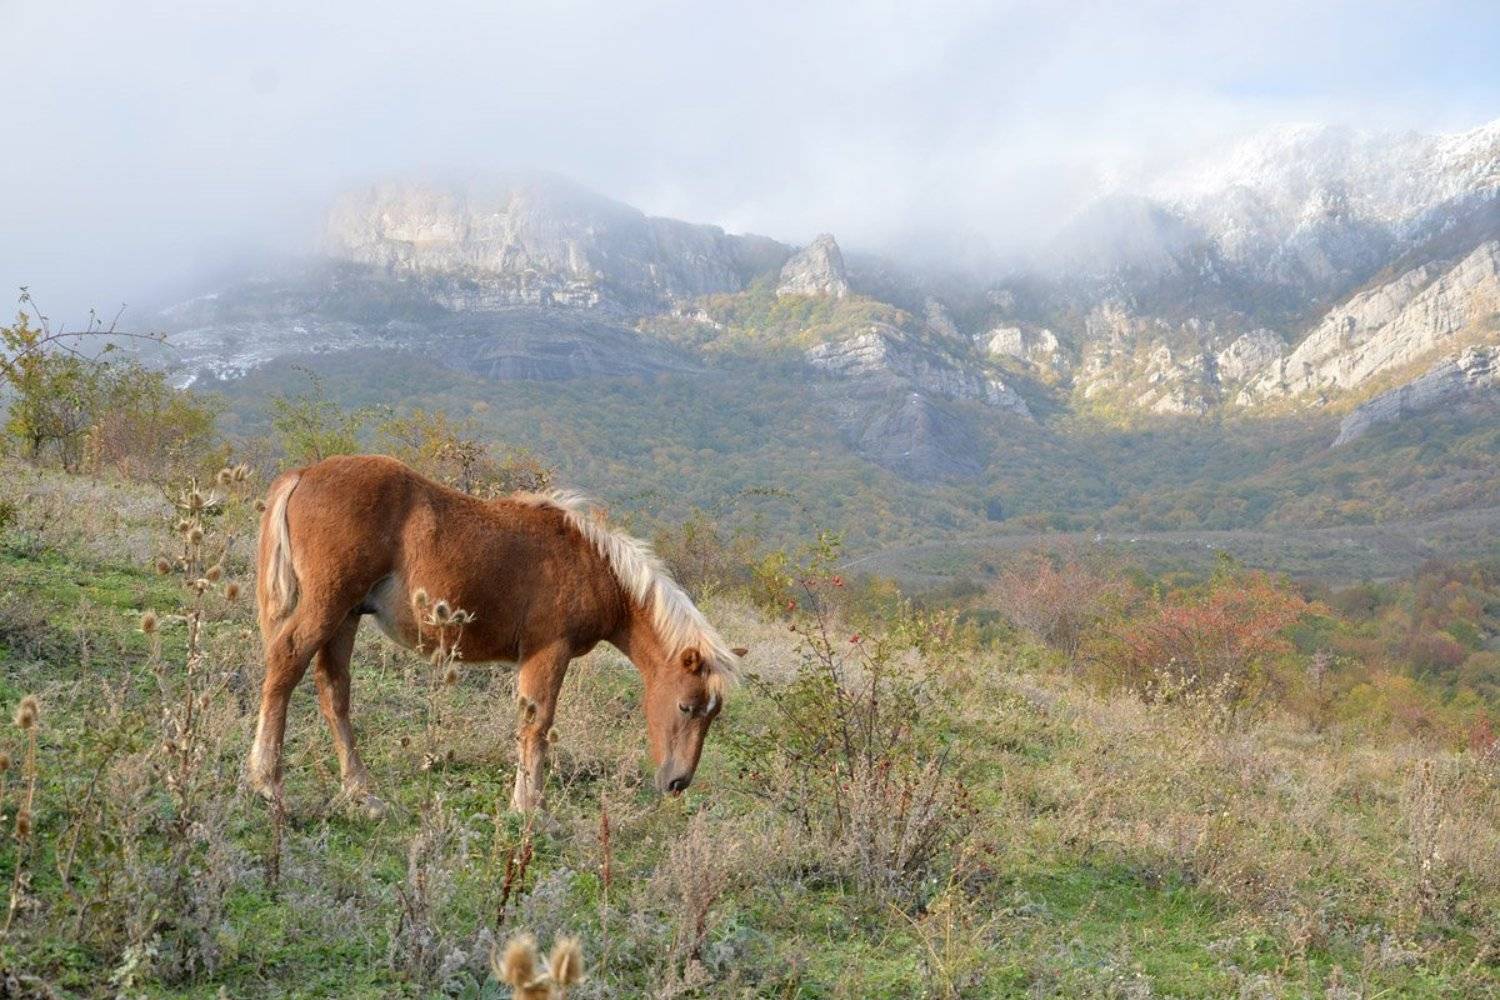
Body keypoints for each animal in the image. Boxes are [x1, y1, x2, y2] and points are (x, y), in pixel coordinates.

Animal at [247, 454, 744, 812]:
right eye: (686, 706)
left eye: (714, 714)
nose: (677, 782)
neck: (593, 565)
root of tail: (304, 473)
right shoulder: (548, 650)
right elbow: (537, 725)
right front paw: (529, 809)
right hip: (326, 605)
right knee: (285, 663)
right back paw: (267, 782)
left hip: (347, 616)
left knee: (333, 691)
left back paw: (361, 793)